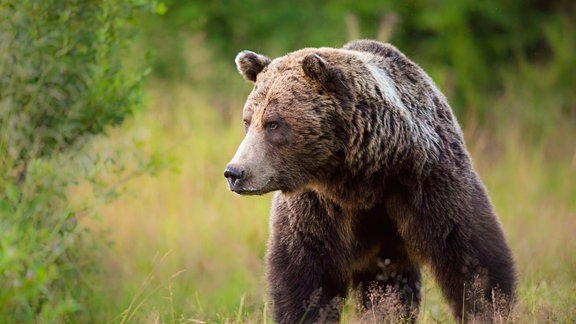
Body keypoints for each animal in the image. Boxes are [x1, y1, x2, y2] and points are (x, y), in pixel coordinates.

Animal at [223, 39, 516, 322]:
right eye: (247, 121)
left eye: (273, 123)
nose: (235, 172)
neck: (362, 178)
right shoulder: (317, 205)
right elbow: (305, 271)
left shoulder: (428, 181)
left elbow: (471, 256)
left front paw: (491, 308)